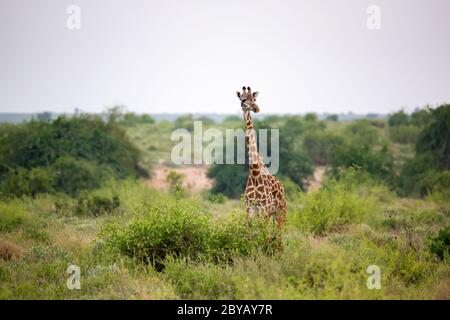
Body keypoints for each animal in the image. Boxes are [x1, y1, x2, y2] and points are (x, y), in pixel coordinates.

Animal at [237, 86, 286, 229]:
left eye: (254, 99)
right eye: (243, 99)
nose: (256, 108)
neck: (254, 172)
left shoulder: (264, 209)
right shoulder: (249, 210)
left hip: (280, 211)